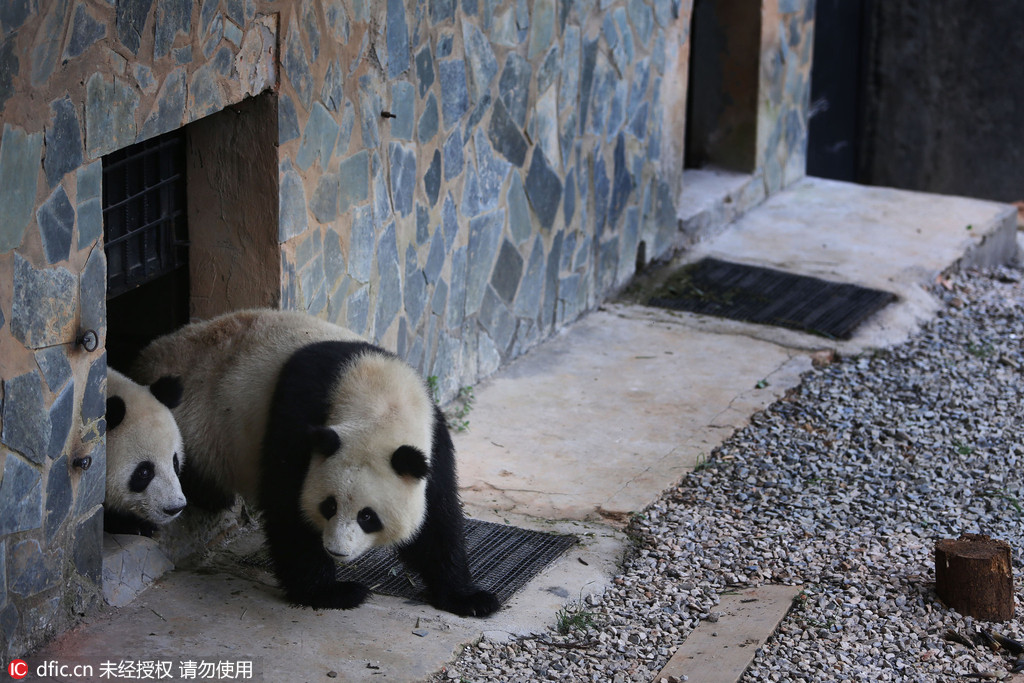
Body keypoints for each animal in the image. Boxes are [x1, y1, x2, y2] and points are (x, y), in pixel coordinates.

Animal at [132, 309, 499, 618]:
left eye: (368, 517)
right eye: (329, 506)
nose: (337, 551)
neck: (379, 398)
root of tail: (148, 358)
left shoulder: (433, 440)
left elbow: (437, 518)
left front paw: (469, 598)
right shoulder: (299, 415)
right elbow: (287, 504)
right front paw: (331, 592)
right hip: (193, 421)